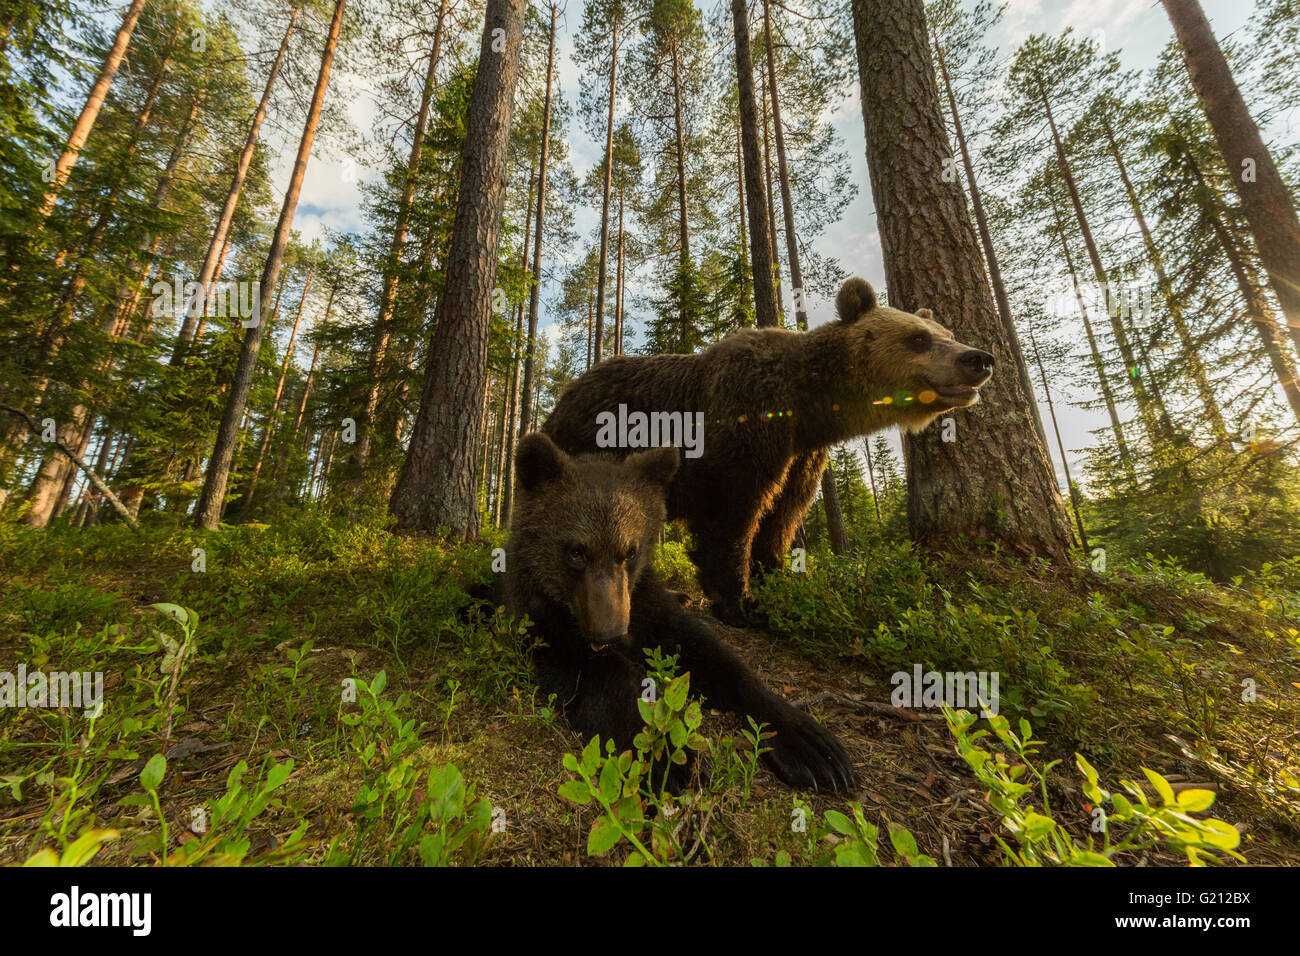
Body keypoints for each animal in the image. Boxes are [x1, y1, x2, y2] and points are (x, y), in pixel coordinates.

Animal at [543, 278, 987, 621]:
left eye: (948, 334)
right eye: (918, 339)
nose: (979, 358)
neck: (807, 406)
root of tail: (569, 390)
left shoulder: (801, 455)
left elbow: (783, 514)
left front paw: (780, 579)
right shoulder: (747, 420)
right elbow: (733, 515)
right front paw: (740, 601)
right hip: (592, 443)